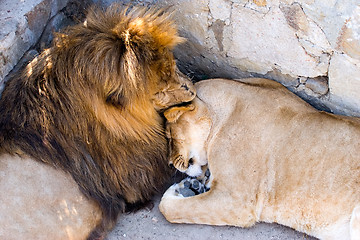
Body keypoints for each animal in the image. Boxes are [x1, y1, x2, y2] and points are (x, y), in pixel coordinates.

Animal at [160, 78, 360, 240]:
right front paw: (191, 186)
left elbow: (168, 208)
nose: (169, 163)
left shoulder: (236, 201)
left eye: (169, 135)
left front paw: (176, 192)